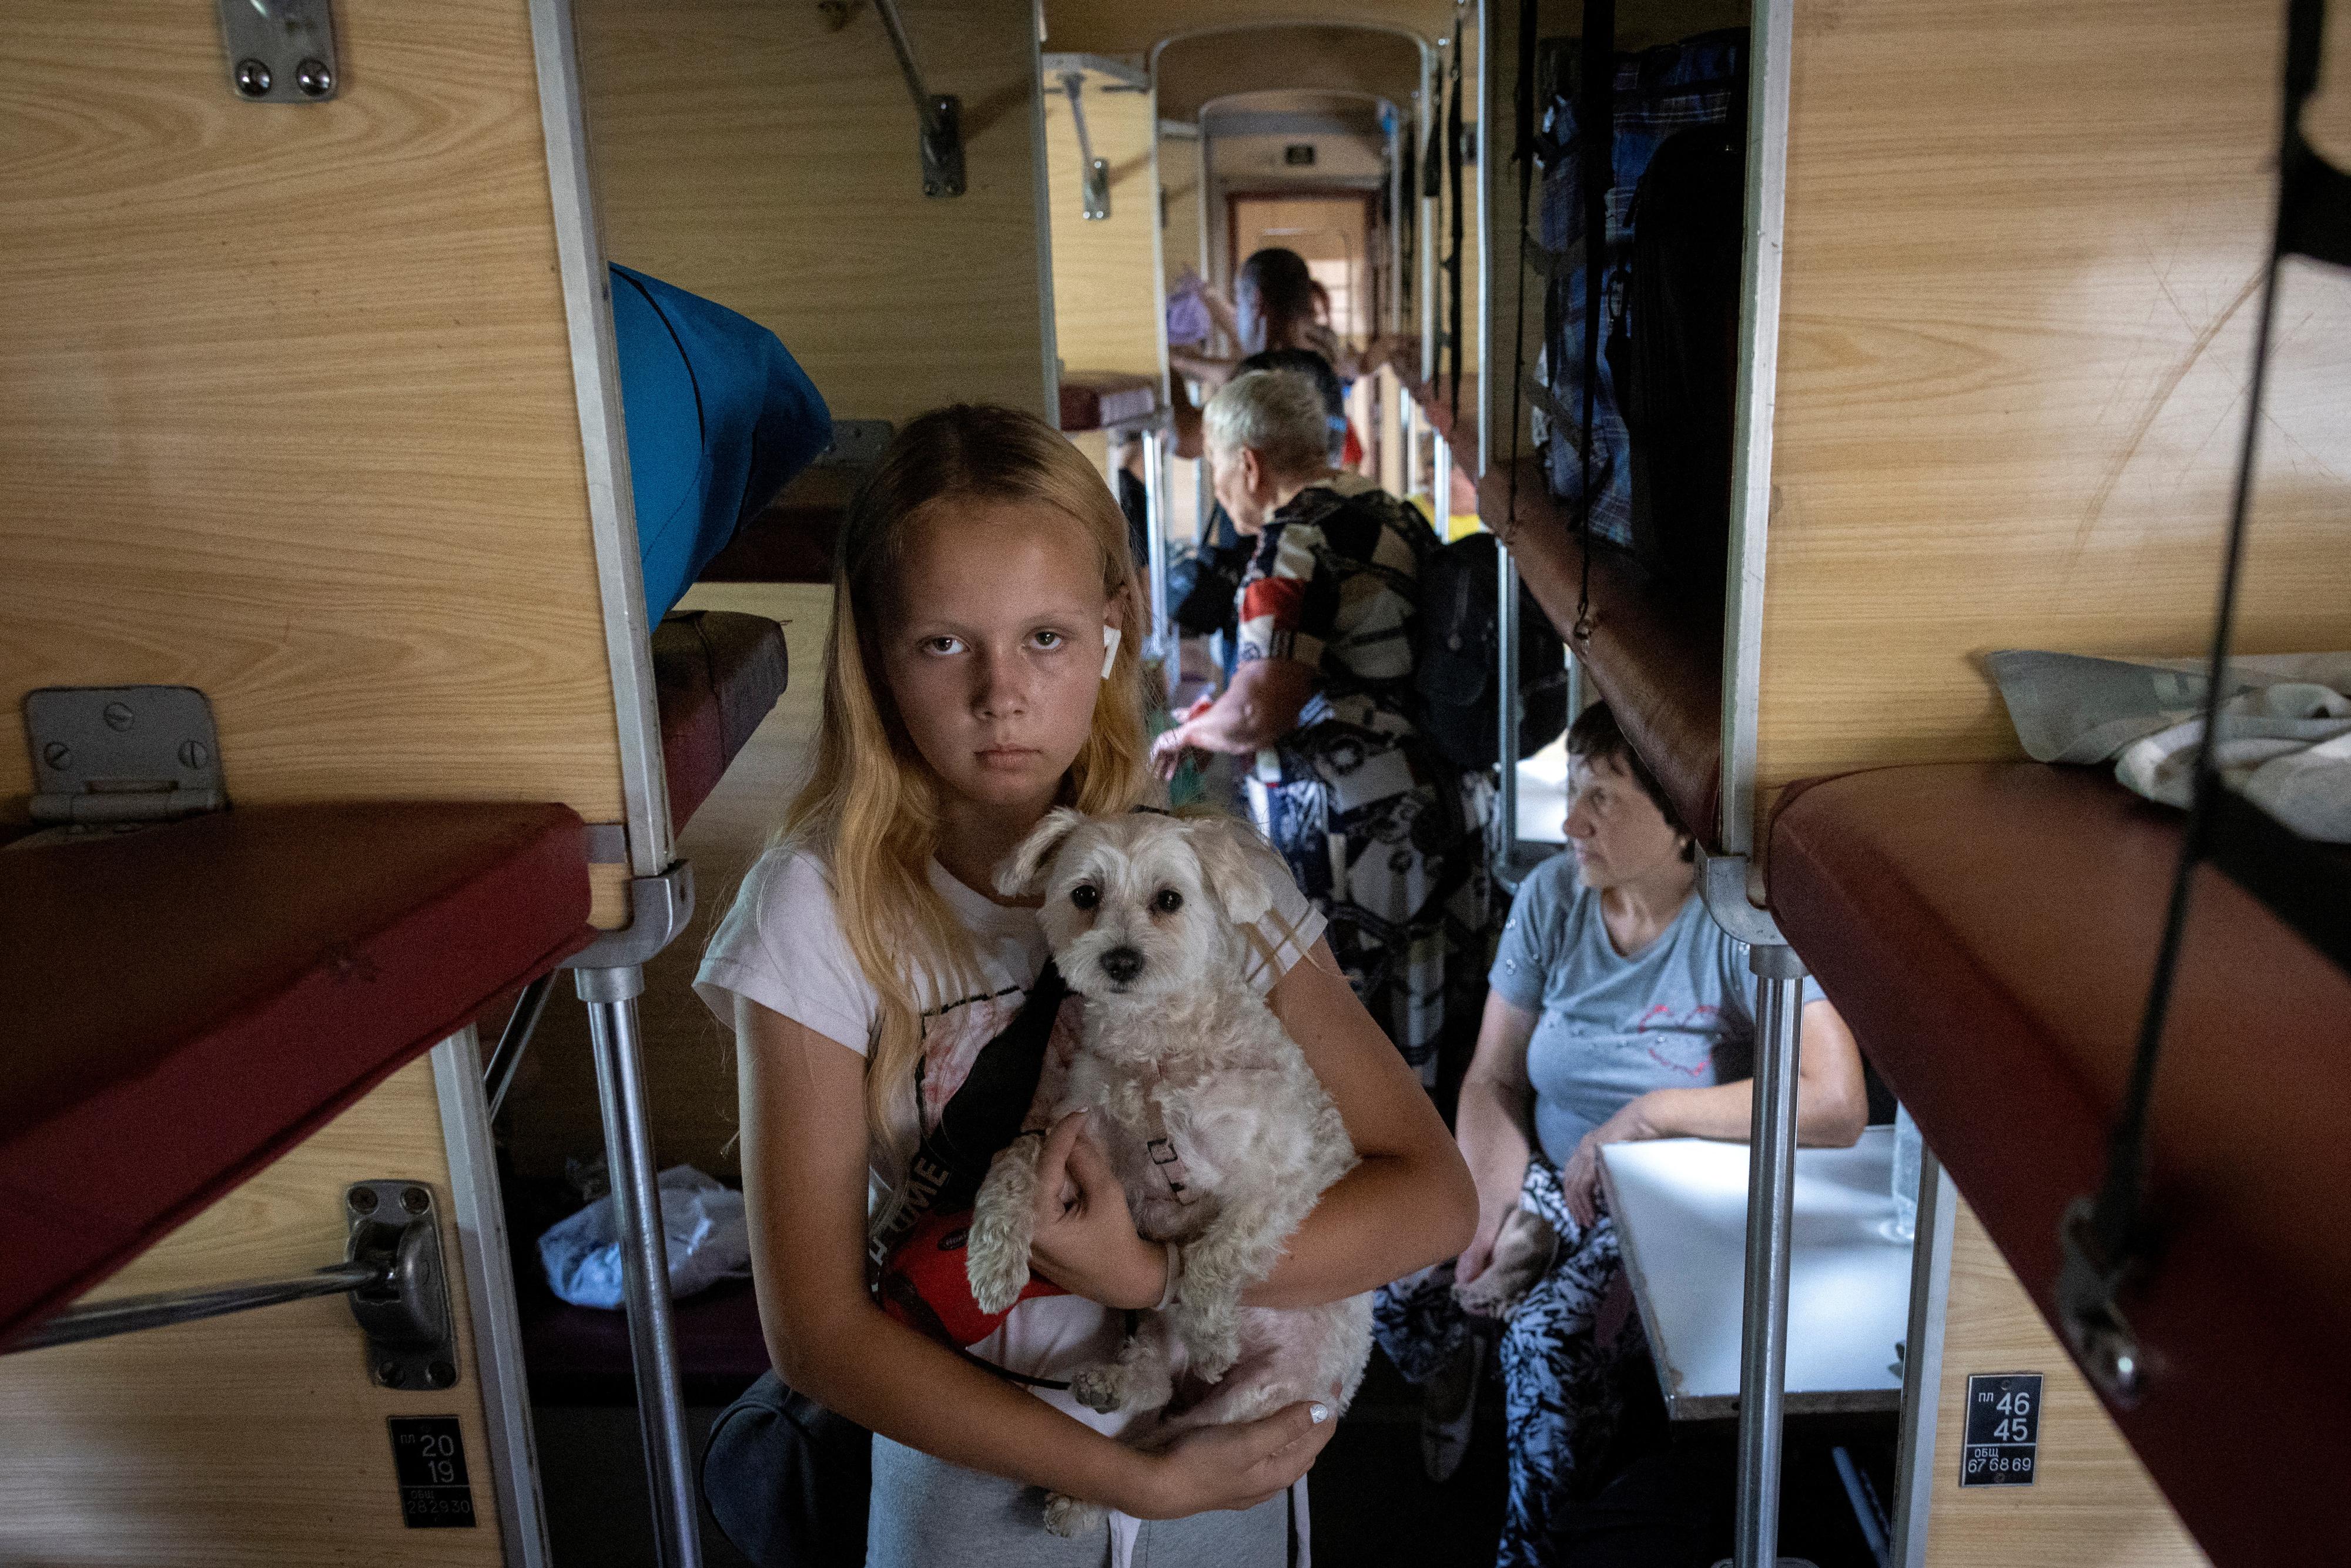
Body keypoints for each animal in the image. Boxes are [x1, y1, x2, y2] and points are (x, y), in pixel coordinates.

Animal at [964, 809, 1373, 1533]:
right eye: (1085, 894)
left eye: (1170, 900)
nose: (1121, 960)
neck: (1154, 1051)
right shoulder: (1072, 1133)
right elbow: (1011, 1165)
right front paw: (992, 1262)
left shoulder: (1280, 1180)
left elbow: (1212, 1257)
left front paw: (1213, 1334)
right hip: (1151, 1326)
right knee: (1154, 1386)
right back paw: (1111, 1390)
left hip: (1251, 1404)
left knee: (1168, 1448)